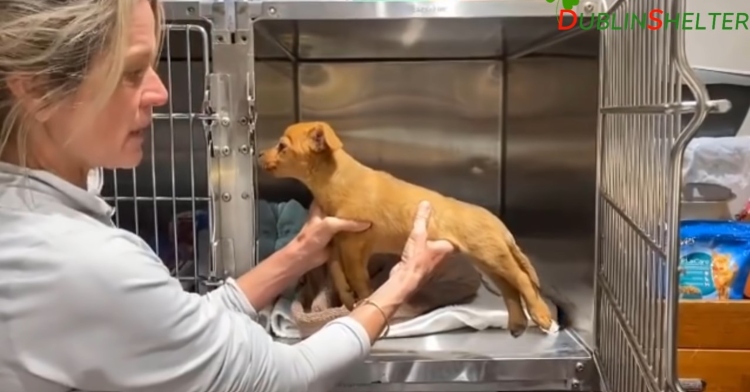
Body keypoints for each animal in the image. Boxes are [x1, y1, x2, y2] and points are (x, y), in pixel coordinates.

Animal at [258, 121, 560, 336]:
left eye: (282, 146)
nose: (259, 153)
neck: (333, 181)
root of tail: (497, 223)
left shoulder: (355, 245)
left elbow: (358, 280)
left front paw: (364, 302)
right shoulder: (336, 237)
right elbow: (335, 269)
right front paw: (347, 298)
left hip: (491, 254)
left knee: (522, 279)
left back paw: (542, 315)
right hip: (487, 259)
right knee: (510, 288)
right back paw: (518, 322)